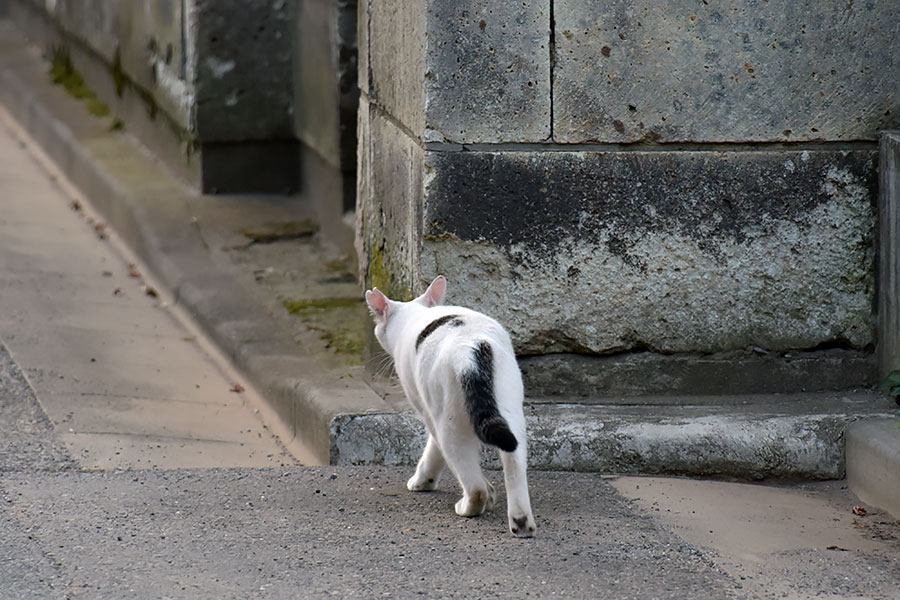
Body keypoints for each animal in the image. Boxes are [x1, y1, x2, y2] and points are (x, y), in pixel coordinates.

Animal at [364, 274, 536, 536]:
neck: (414, 314)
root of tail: (471, 347)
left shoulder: (425, 408)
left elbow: (434, 452)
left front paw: (423, 481)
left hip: (450, 421)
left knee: (473, 483)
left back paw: (470, 505)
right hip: (510, 411)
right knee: (514, 461)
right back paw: (521, 522)